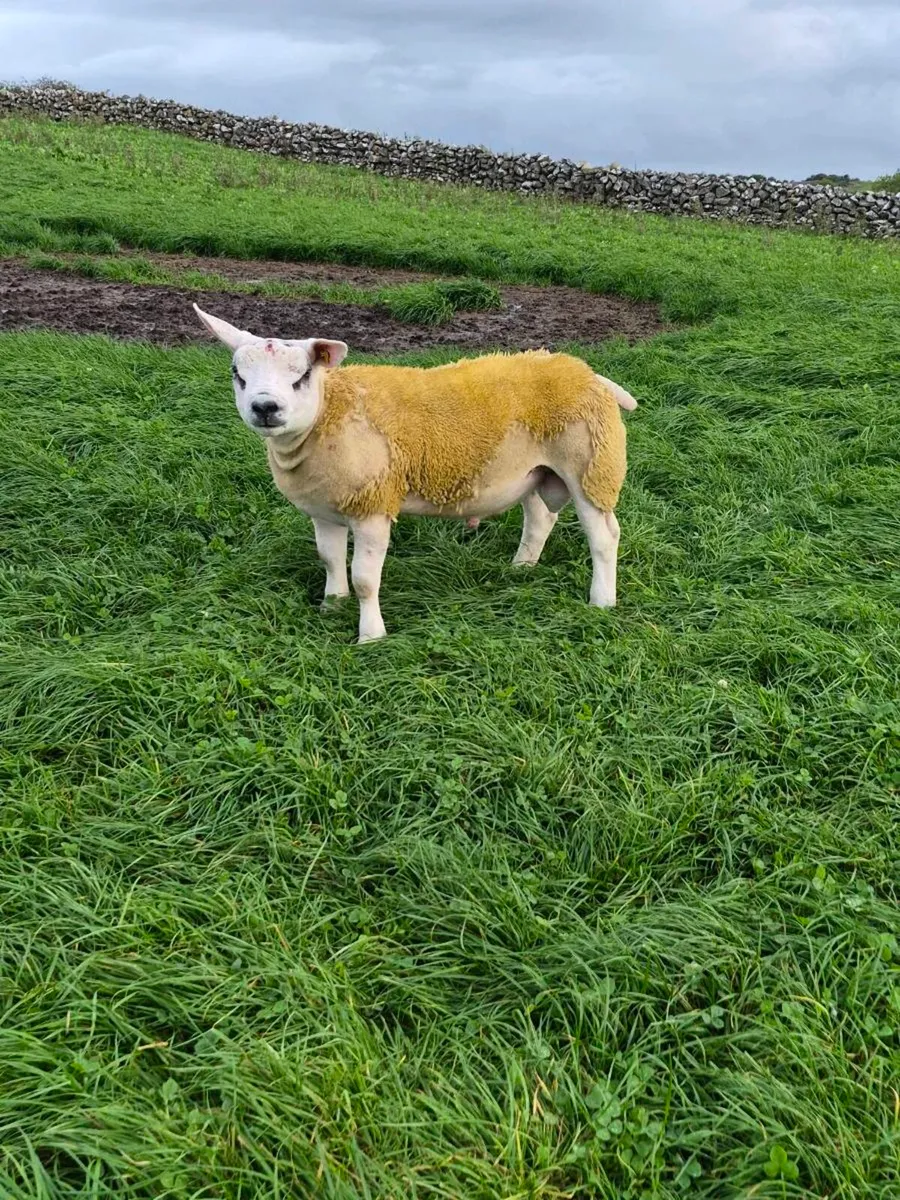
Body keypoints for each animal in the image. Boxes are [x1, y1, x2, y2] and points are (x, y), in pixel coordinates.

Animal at [193, 304, 638, 643]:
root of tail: (586, 372)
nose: (265, 407)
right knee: (540, 518)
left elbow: (364, 578)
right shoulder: (324, 508)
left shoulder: (373, 503)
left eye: (301, 376)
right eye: (237, 374)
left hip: (592, 466)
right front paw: (331, 606)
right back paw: (521, 568)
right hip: (534, 470)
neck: (330, 412)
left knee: (604, 536)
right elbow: (331, 560)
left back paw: (602, 600)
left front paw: (370, 635)